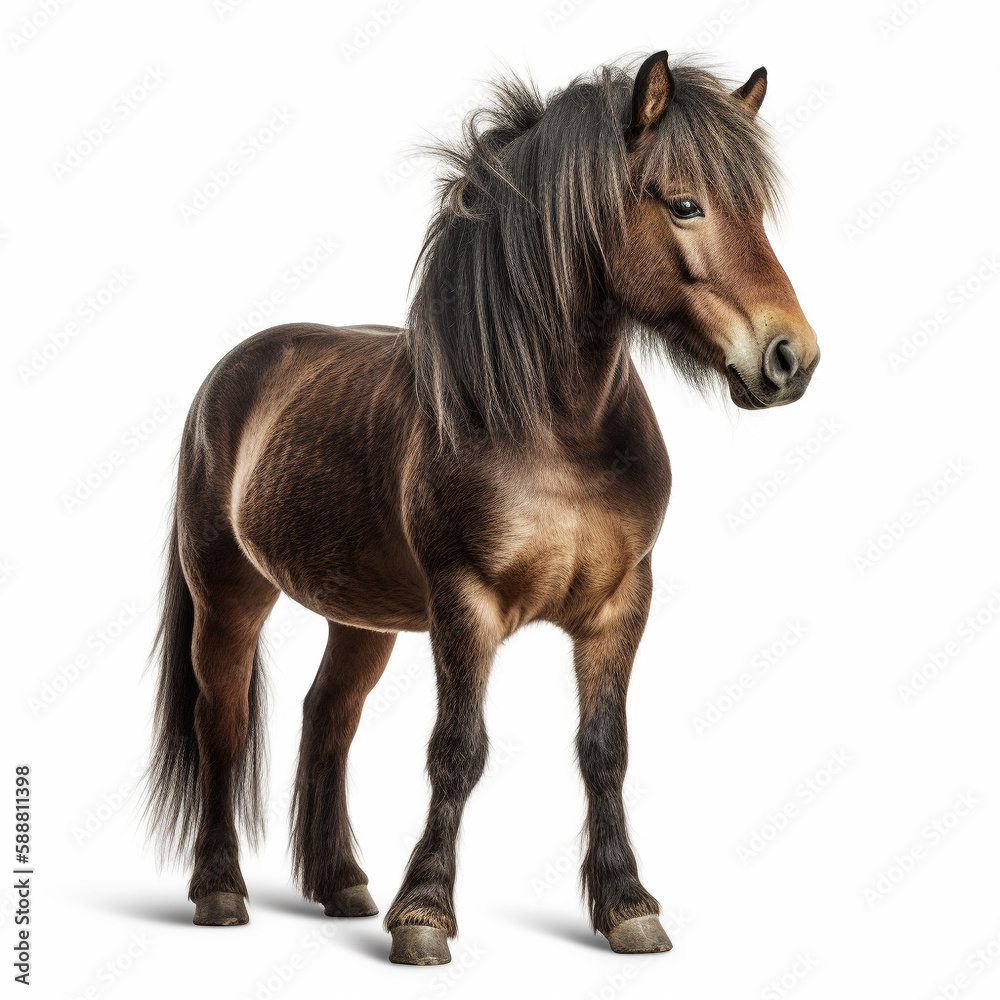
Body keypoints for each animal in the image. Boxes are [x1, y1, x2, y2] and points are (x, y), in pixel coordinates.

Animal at [143, 50, 819, 966]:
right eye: (685, 203)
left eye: (758, 211)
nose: (792, 358)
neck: (556, 431)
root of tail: (233, 371)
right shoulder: (465, 604)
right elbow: (457, 751)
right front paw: (424, 915)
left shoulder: (621, 605)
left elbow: (605, 751)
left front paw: (628, 907)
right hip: (229, 594)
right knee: (222, 719)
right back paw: (220, 891)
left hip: (363, 616)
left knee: (329, 717)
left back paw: (342, 884)